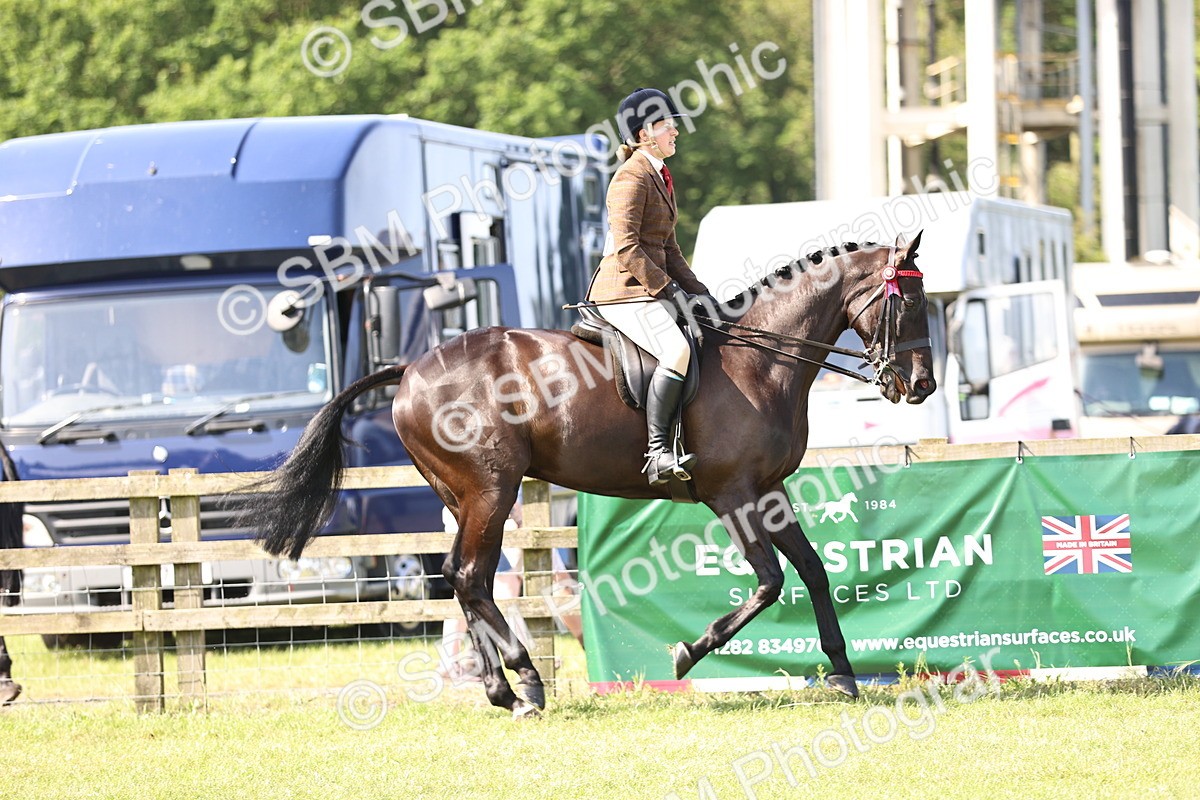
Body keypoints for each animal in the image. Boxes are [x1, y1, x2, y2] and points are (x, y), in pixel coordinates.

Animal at [241, 232, 935, 718]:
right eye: (909, 304)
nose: (922, 385)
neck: (760, 362)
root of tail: (409, 369)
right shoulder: (732, 494)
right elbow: (768, 582)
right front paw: (686, 652)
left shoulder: (768, 491)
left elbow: (813, 570)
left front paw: (843, 672)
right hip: (491, 491)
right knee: (470, 576)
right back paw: (524, 682)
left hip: (465, 497)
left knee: (462, 578)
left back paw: (503, 688)